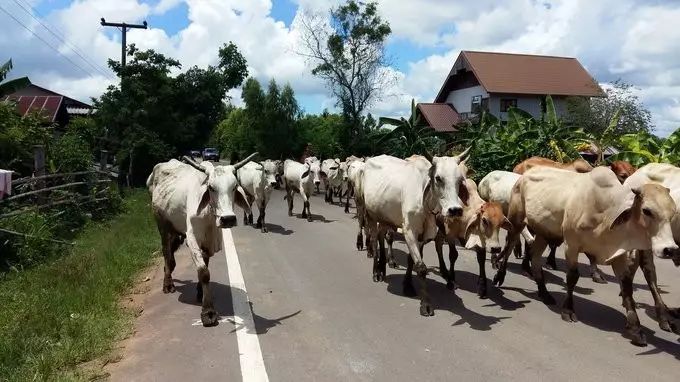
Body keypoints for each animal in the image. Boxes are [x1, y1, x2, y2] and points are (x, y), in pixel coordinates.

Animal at [362, 149, 468, 316]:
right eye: (438, 178)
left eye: (460, 179)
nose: (455, 210)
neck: (425, 199)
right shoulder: (410, 230)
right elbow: (421, 267)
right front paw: (426, 304)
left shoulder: (423, 235)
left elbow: (412, 261)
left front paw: (408, 286)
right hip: (371, 215)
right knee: (373, 240)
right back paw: (376, 272)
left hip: (385, 217)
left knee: (381, 235)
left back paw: (383, 268)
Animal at [494, 167, 680, 346]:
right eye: (647, 211)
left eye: (673, 213)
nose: (670, 249)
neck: (606, 213)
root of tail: (524, 175)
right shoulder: (571, 245)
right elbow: (572, 277)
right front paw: (568, 311)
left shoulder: (619, 255)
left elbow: (627, 288)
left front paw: (636, 329)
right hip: (516, 221)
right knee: (509, 247)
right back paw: (500, 276)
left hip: (542, 233)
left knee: (535, 258)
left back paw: (544, 293)